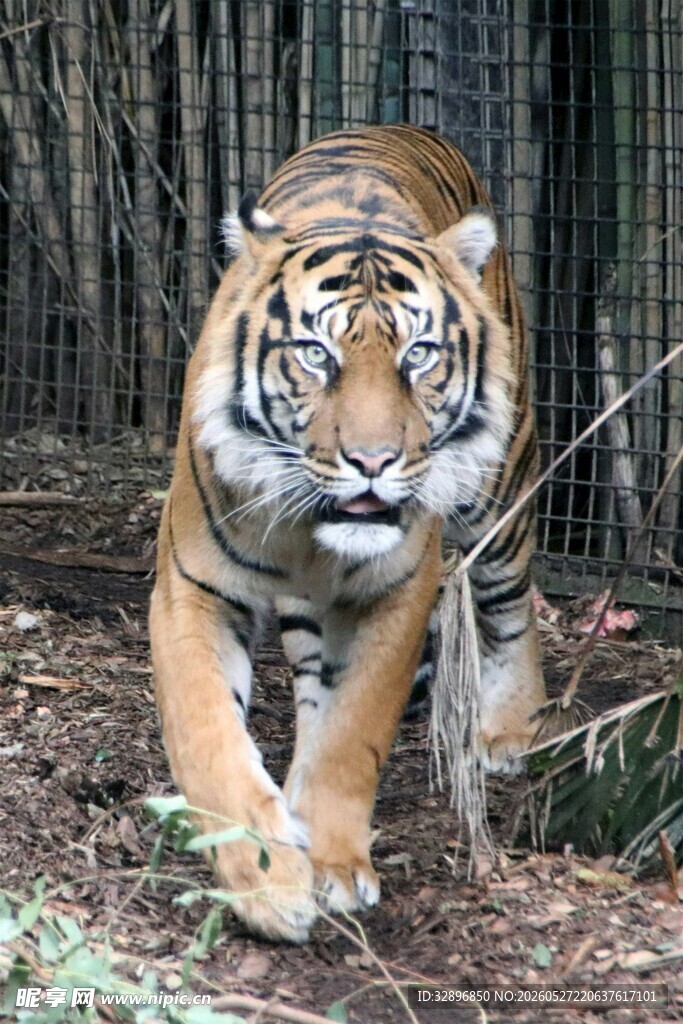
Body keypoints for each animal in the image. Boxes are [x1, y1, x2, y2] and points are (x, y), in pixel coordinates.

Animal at [150, 125, 546, 943]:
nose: (372, 461)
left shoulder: (397, 593)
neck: (311, 530)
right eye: (316, 355)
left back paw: (510, 730)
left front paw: (331, 867)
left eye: (417, 355)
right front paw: (269, 885)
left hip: (500, 485)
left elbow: (351, 735)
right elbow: (208, 735)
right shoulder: (192, 588)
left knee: (511, 600)